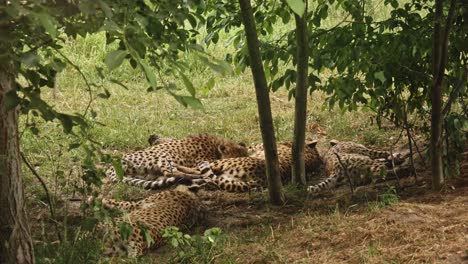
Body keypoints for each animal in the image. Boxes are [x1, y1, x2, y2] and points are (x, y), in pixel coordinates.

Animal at [107, 135, 249, 189]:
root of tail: (110, 167)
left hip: (149, 174)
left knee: (169, 176)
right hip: (162, 157)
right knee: (172, 172)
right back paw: (201, 179)